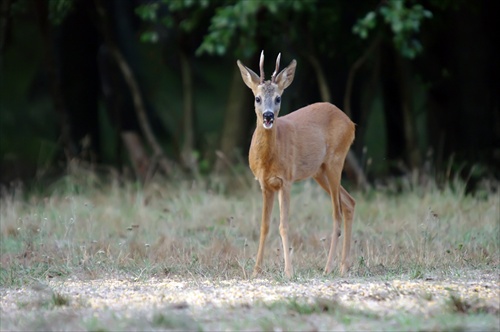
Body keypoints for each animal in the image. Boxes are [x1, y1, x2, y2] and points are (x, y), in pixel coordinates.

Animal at [237, 51, 356, 278]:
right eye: (257, 98)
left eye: (278, 98)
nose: (268, 116)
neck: (268, 159)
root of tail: (351, 122)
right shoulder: (265, 184)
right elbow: (265, 225)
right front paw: (256, 271)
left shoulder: (286, 180)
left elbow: (283, 225)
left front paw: (288, 271)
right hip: (319, 171)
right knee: (349, 202)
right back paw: (344, 267)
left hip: (336, 160)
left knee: (336, 213)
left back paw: (328, 268)